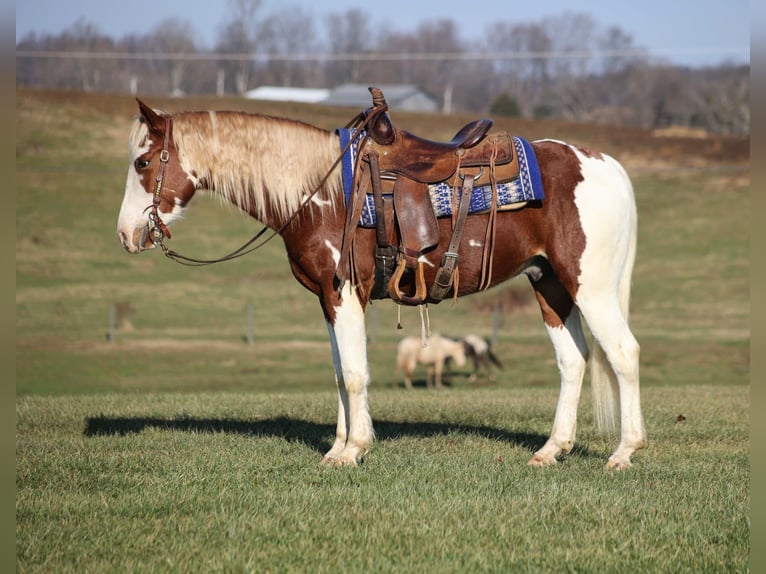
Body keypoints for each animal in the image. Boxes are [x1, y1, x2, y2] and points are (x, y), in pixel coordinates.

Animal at [116, 96, 645, 470]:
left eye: (142, 163)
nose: (126, 234)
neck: (322, 192)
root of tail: (605, 164)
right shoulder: (327, 299)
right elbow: (339, 372)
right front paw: (338, 447)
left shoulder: (346, 293)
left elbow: (354, 373)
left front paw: (354, 450)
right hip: (550, 284)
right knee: (573, 361)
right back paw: (552, 449)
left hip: (591, 288)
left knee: (623, 353)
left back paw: (624, 452)